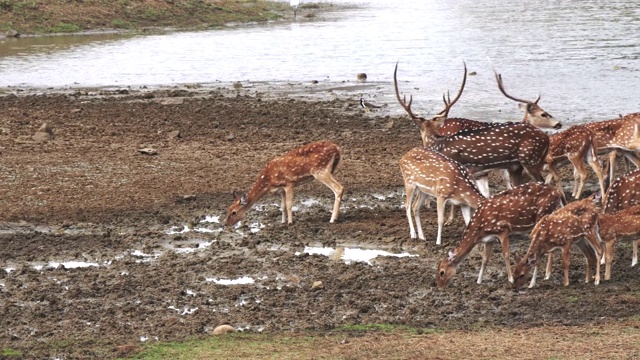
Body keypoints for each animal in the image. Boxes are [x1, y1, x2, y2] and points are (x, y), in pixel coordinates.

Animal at [436, 181, 564, 288]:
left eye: (442, 272)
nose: (440, 287)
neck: (480, 229)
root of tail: (558, 192)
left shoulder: (503, 229)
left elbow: (506, 254)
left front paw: (511, 279)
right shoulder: (489, 238)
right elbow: (485, 258)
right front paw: (479, 280)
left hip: (544, 213)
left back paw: (546, 276)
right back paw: (547, 274)